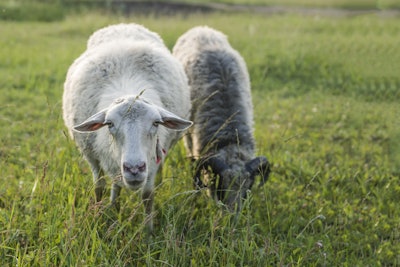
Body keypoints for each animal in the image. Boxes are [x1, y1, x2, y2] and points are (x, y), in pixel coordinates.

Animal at [62, 23, 192, 232]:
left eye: (156, 123)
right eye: (110, 124)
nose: (134, 168)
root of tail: (123, 25)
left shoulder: (151, 164)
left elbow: (147, 196)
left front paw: (148, 232)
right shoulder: (92, 155)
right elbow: (99, 187)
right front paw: (98, 217)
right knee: (115, 183)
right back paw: (114, 206)